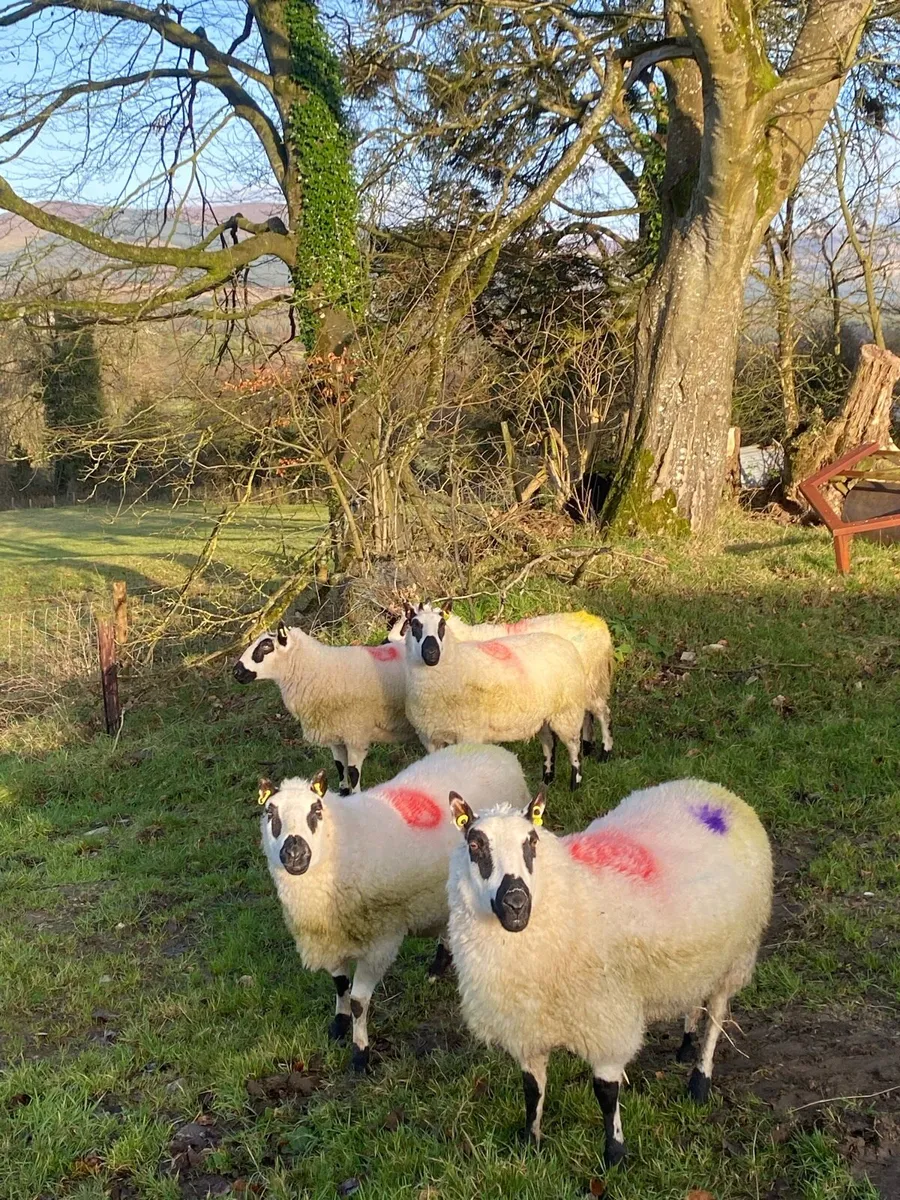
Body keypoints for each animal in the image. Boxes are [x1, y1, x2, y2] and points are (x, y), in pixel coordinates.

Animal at [233, 621, 415, 794]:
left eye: (266, 647)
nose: (236, 672)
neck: (319, 669)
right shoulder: (335, 734)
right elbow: (340, 768)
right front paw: (343, 792)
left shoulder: (355, 733)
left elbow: (353, 773)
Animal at [259, 743, 530, 1071]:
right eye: (270, 813)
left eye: (316, 811)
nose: (295, 853)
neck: (341, 841)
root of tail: (499, 752)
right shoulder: (332, 937)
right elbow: (339, 984)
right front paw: (338, 1025)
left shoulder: (380, 941)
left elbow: (359, 1002)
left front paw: (359, 1054)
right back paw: (437, 967)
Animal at [387, 602, 615, 758]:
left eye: (406, 624)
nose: (385, 640)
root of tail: (598, 622)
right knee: (587, 715)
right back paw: (588, 747)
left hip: (591, 682)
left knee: (602, 712)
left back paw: (605, 751)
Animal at [446, 778, 773, 1167]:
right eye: (475, 845)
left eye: (532, 842)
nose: (516, 903)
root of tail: (713, 790)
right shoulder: (527, 1027)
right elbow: (532, 1089)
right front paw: (529, 1141)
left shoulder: (606, 1021)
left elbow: (605, 1092)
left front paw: (615, 1153)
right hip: (699, 957)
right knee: (695, 1000)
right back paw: (685, 1045)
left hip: (735, 956)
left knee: (717, 1014)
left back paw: (699, 1080)